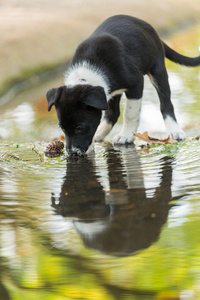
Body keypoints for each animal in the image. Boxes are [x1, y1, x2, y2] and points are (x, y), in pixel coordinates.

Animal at [46, 14, 200, 157]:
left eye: (80, 127)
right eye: (62, 128)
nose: (72, 154)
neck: (86, 75)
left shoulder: (136, 83)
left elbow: (130, 113)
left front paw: (126, 136)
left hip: (158, 70)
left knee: (166, 103)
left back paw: (175, 130)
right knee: (113, 113)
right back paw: (100, 134)